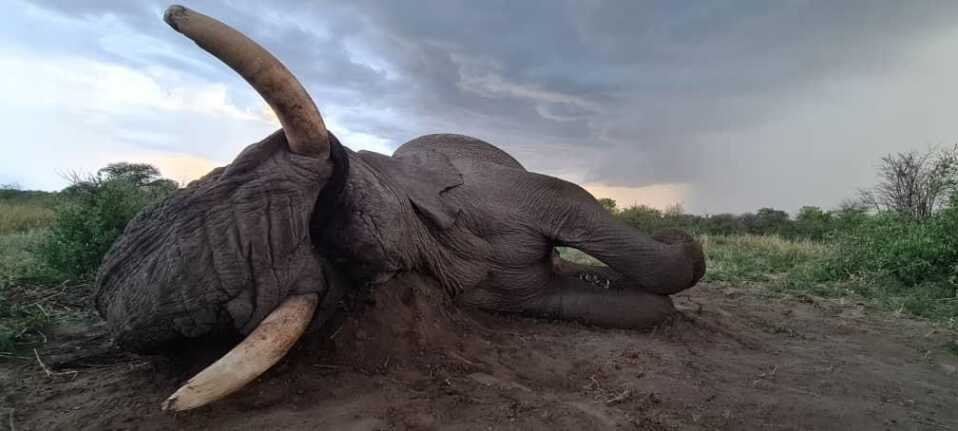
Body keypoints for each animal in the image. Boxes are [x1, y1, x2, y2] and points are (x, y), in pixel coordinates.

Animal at [94, 5, 705, 412]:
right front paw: (653, 294)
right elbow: (587, 301)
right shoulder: (496, 291)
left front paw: (680, 246)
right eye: (349, 258)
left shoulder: (502, 192)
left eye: (242, 163)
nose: (103, 293)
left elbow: (575, 205)